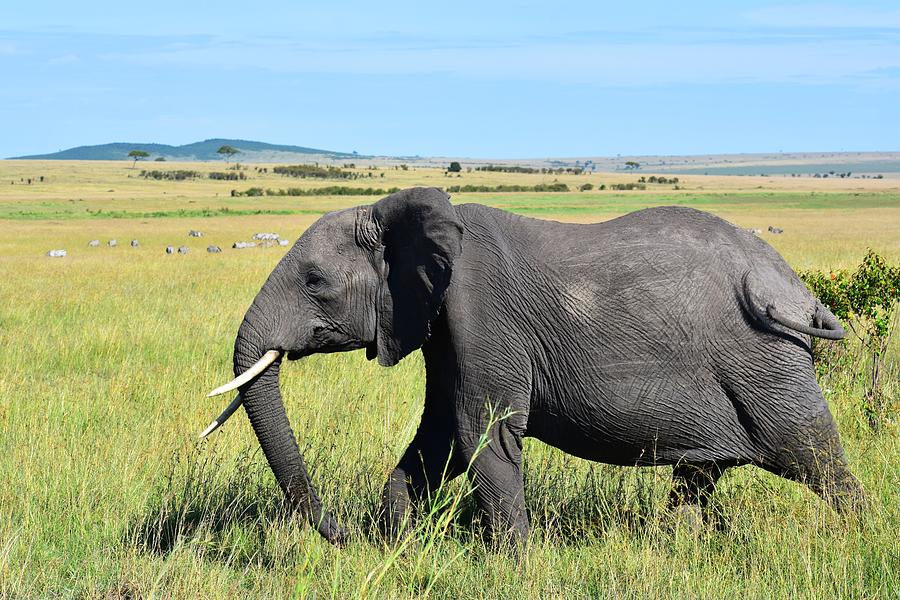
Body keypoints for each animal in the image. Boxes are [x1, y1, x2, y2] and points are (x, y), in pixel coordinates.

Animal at [200, 185, 860, 548]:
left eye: (315, 282)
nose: (339, 532)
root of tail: (798, 288)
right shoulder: (444, 326)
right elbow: (439, 436)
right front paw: (394, 547)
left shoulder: (479, 310)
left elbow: (480, 432)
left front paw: (515, 567)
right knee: (701, 477)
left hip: (767, 364)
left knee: (816, 455)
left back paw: (862, 538)